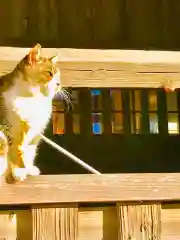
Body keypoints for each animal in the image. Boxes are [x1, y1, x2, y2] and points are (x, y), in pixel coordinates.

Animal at [0, 43, 67, 183]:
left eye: (58, 75)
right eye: (49, 73)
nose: (58, 84)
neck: (34, 98)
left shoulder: (36, 131)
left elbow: (29, 151)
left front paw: (29, 169)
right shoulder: (12, 129)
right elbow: (16, 150)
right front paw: (19, 171)